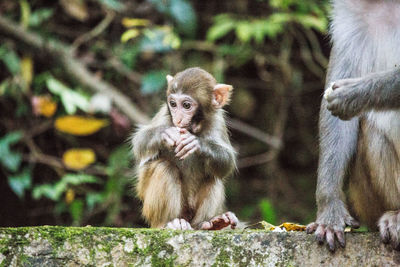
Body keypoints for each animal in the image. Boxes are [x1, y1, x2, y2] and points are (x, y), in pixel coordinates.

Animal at [132, 67, 238, 230]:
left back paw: (209, 224)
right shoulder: (165, 114)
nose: (178, 119)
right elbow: (140, 142)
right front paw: (165, 134)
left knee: (213, 177)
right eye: (173, 104)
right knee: (165, 168)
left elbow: (227, 162)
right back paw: (169, 223)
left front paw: (197, 144)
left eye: (186, 105)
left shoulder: (217, 121)